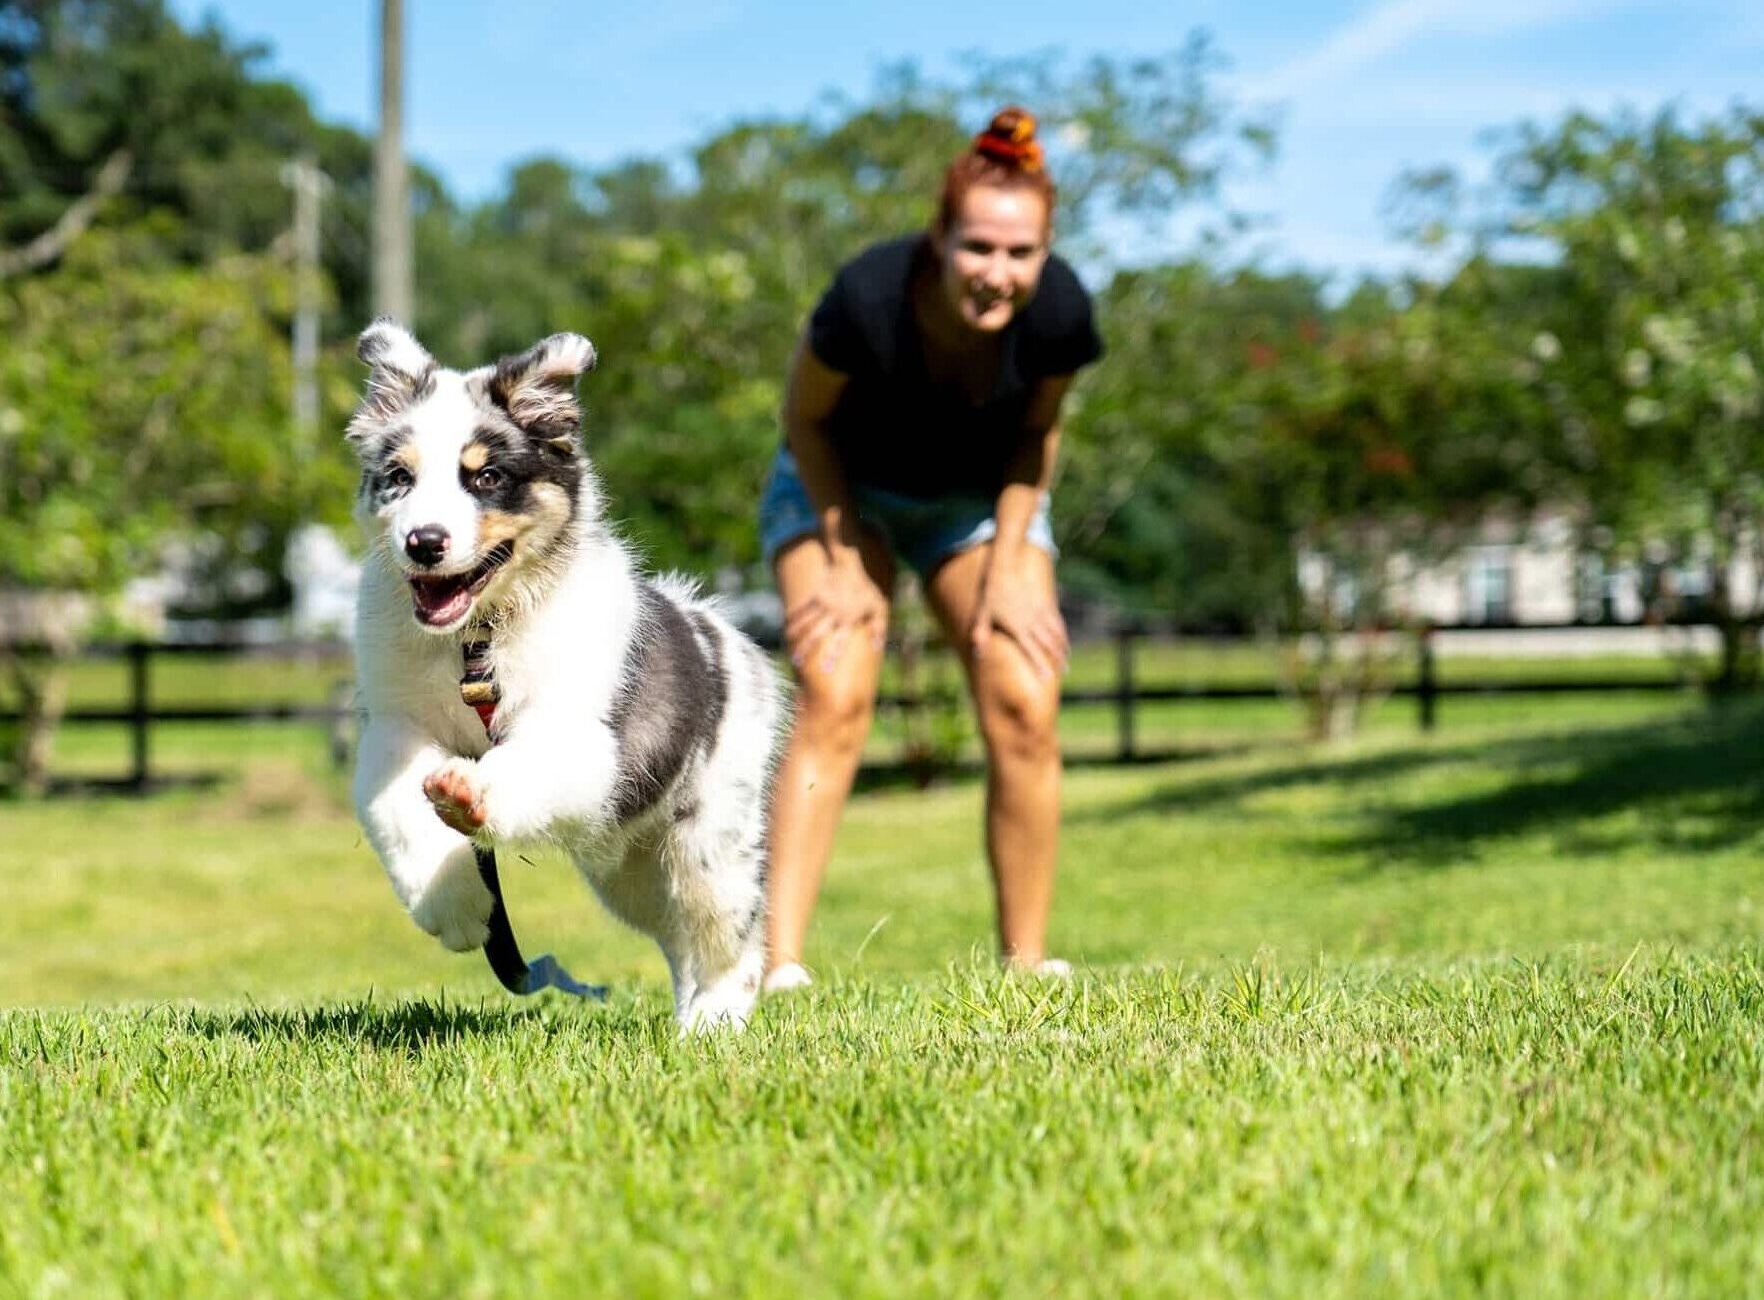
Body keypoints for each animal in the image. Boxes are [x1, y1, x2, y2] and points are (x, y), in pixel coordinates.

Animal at [347, 319, 783, 1030]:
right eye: (399, 477)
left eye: (487, 477)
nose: (424, 542)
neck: (477, 639)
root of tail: (725, 636)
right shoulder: (394, 724)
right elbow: (397, 805)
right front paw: (457, 908)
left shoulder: (584, 735)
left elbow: (523, 765)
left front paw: (470, 795)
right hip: (629, 867)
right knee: (675, 936)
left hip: (710, 837)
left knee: (727, 932)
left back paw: (713, 1023)